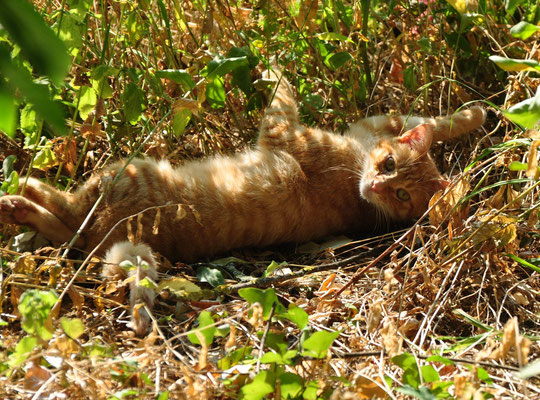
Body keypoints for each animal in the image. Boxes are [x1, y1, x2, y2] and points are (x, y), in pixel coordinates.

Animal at [0, 71, 488, 334]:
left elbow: (282, 92)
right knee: (68, 234)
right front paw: (475, 114)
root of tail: (118, 232)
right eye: (389, 167)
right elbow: (429, 120)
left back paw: (17, 193)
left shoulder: (282, 132)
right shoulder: (373, 124)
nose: (378, 189)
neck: (355, 167)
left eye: (403, 195)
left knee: (67, 214)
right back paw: (19, 202)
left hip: (125, 172)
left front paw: (269, 64)